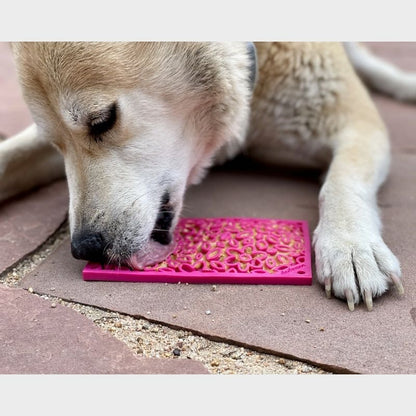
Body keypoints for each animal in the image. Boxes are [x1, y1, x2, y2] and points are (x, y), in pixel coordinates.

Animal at [0, 42, 410, 310]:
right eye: (56, 145)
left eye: (103, 120)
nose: (85, 248)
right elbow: (10, 160)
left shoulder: (354, 120)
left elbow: (343, 179)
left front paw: (351, 247)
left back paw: (403, 84)